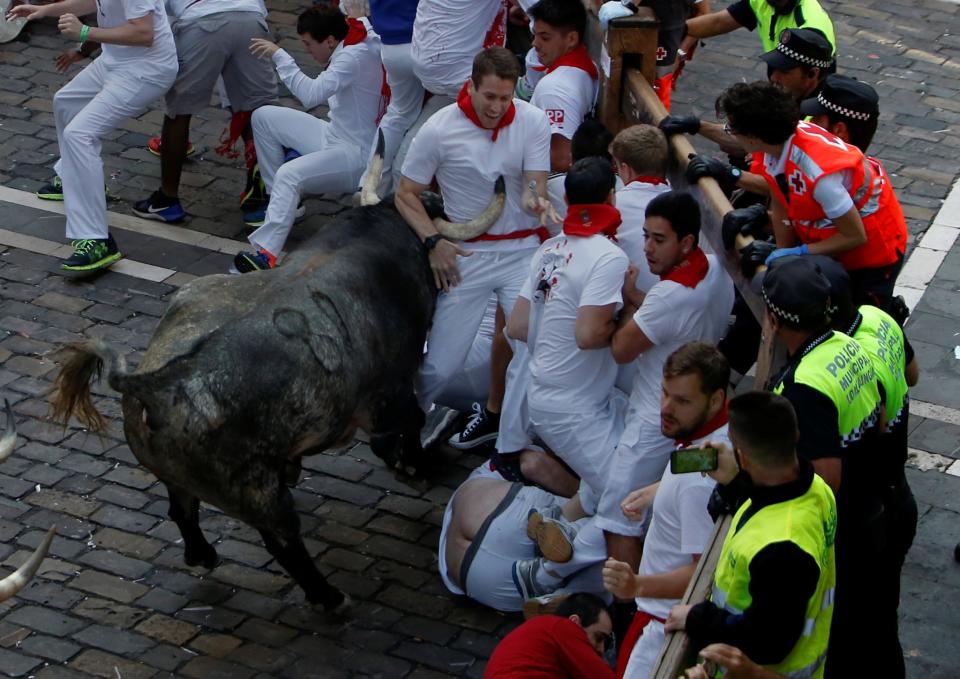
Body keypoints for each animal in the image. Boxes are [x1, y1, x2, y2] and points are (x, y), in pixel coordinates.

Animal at [48, 158, 506, 612]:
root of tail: (159, 382)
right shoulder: (391, 393)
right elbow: (404, 426)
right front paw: (414, 465)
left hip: (176, 474)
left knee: (182, 511)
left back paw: (202, 555)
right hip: (260, 493)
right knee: (282, 541)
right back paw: (328, 598)